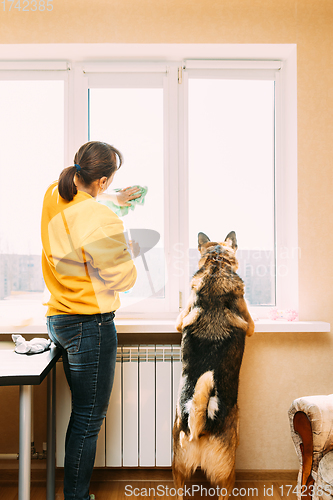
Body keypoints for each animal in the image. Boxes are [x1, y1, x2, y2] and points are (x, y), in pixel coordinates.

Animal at [172, 231, 253, 500]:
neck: (216, 264)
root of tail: (201, 425)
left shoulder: (180, 320)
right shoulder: (251, 325)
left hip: (178, 469)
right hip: (227, 474)